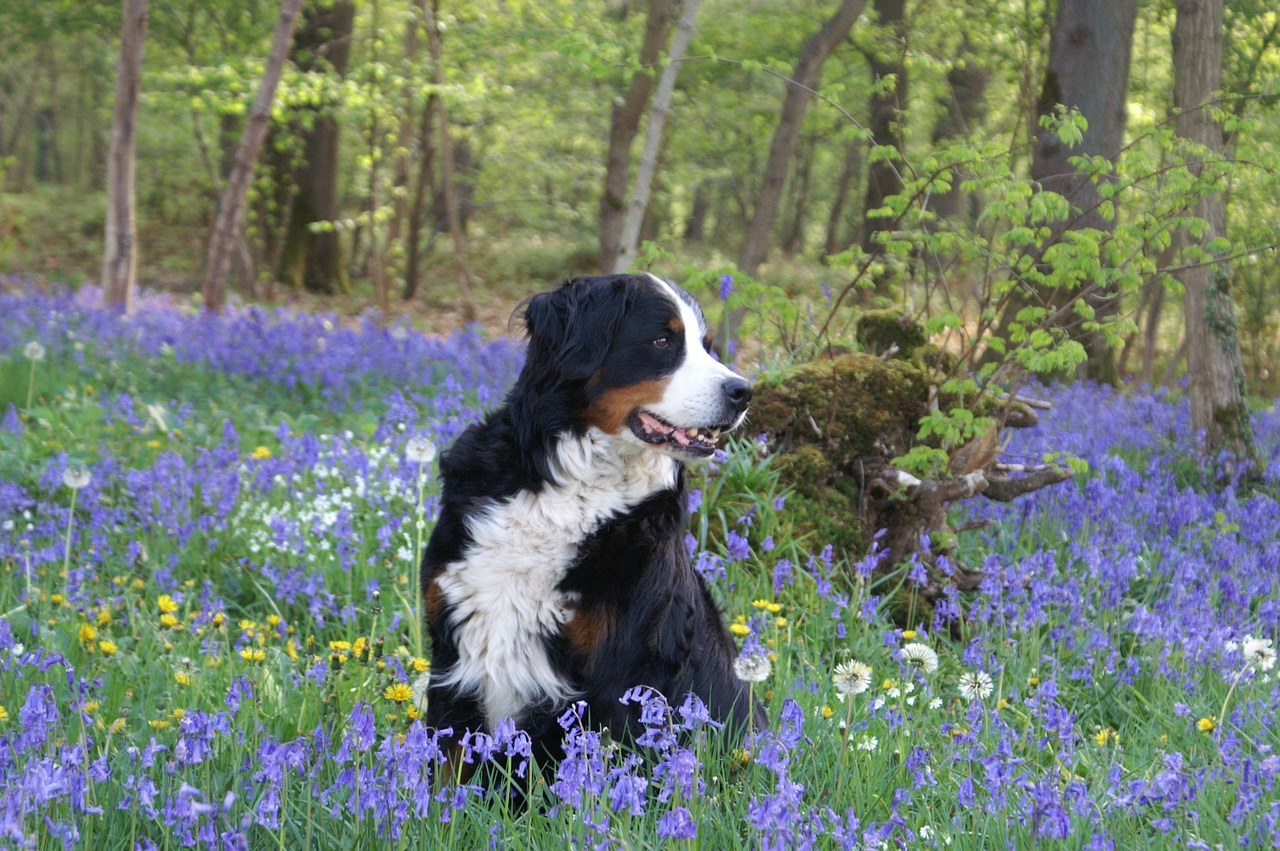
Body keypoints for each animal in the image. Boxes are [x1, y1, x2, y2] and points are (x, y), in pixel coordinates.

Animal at [422, 272, 757, 767]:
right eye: (662, 340)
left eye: (708, 346)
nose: (742, 392)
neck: (575, 487)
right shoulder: (452, 652)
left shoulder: (616, 678)